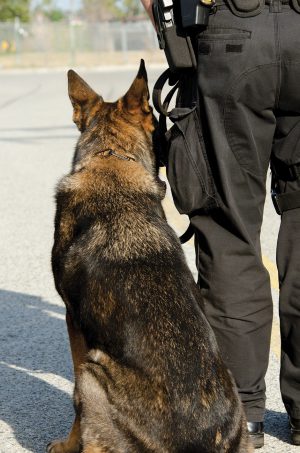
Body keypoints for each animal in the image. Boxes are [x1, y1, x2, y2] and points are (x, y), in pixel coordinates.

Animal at [47, 61, 253, 452]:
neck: (110, 157)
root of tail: (195, 443)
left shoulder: (72, 322)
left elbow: (75, 405)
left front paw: (67, 444)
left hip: (94, 370)